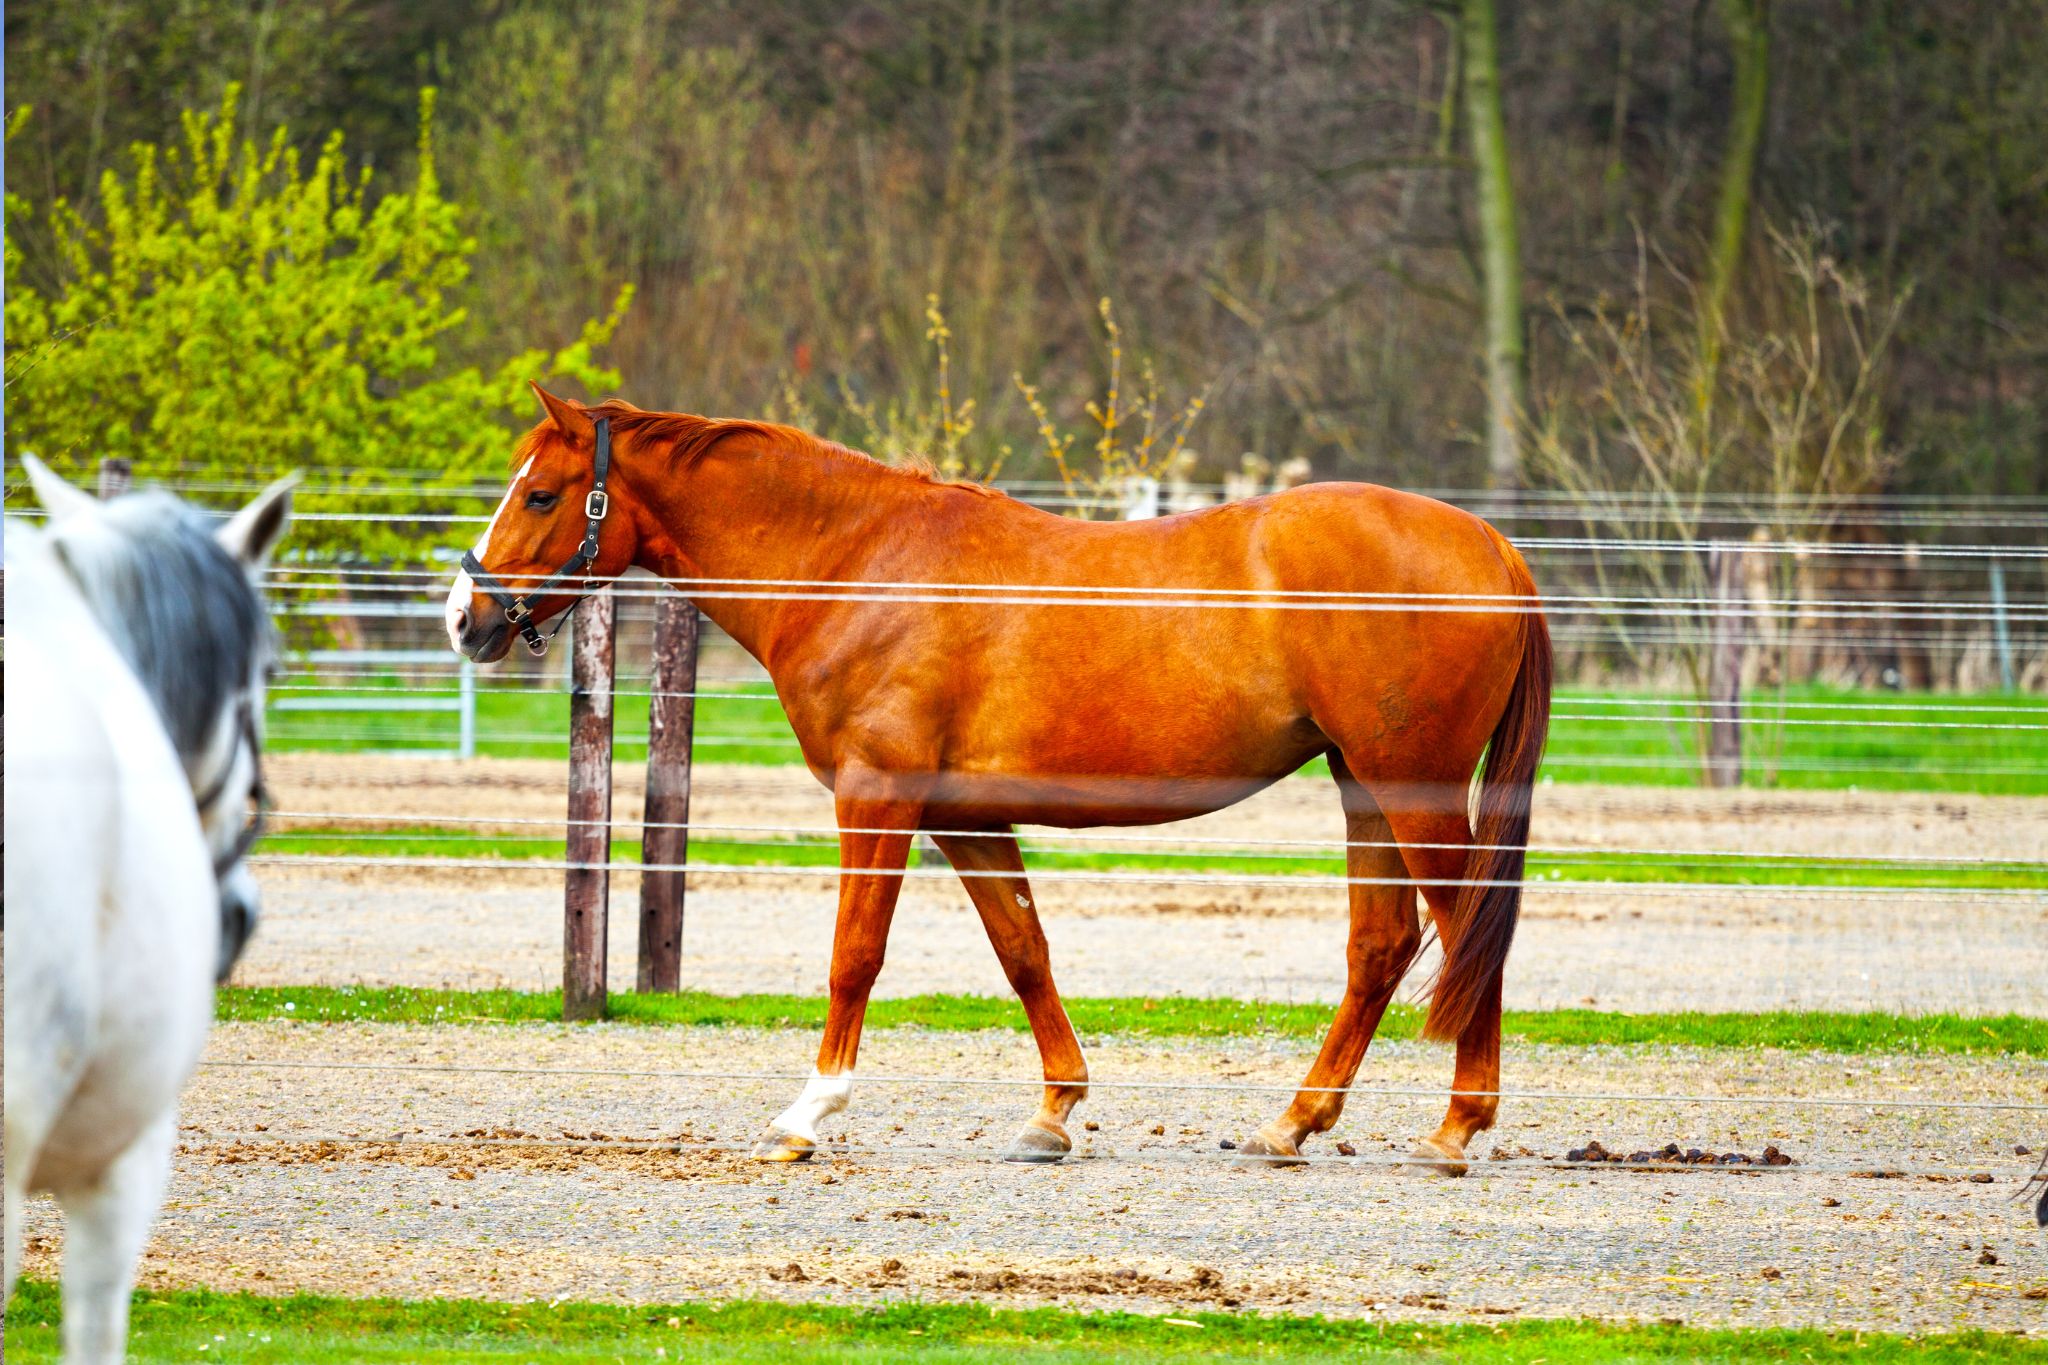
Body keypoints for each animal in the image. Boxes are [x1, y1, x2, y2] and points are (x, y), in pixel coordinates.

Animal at [448, 384, 1550, 1175]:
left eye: (540, 494)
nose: (467, 617)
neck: (856, 564)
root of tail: (1492, 543)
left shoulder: (878, 799)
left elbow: (856, 958)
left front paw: (810, 1110)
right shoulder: (962, 816)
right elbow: (1024, 953)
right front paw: (1054, 1112)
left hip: (1409, 784)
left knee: (1464, 933)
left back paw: (1456, 1127)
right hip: (1362, 781)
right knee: (1383, 945)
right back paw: (1295, 1122)